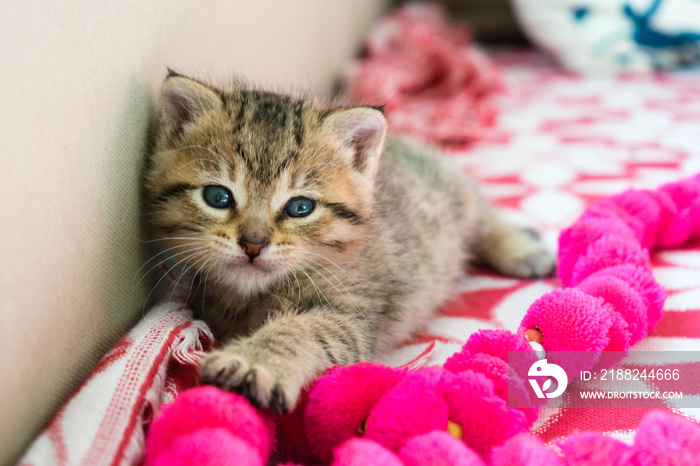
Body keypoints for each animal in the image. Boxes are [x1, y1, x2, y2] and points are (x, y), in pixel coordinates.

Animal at [145, 73, 556, 416]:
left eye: (300, 207)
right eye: (218, 197)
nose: (253, 243)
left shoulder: (352, 315)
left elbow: (302, 329)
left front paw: (255, 361)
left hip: (451, 191)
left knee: (481, 216)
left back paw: (521, 249)